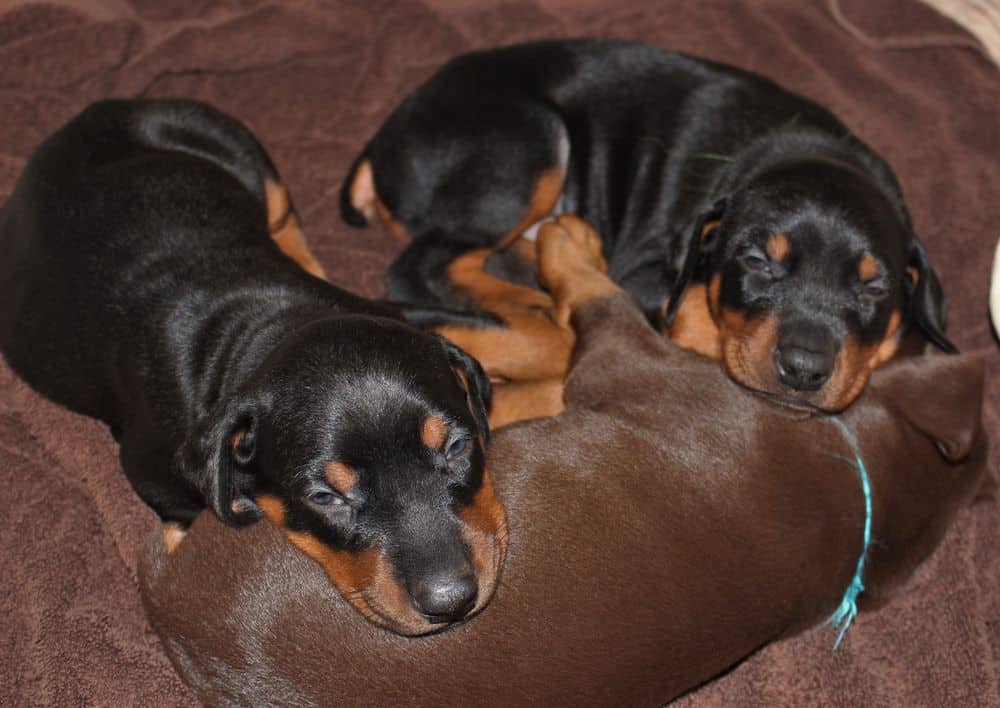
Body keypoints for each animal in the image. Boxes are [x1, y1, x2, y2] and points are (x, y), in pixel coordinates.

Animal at [0, 99, 504, 636]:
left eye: (456, 447)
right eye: (325, 497)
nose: (451, 601)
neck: (268, 330)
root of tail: (87, 117)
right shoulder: (150, 465)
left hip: (241, 151)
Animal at [346, 38, 960, 412]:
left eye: (874, 288)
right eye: (757, 262)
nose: (804, 368)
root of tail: (383, 140)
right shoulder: (647, 272)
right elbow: (690, 318)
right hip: (526, 142)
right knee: (420, 263)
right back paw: (532, 300)